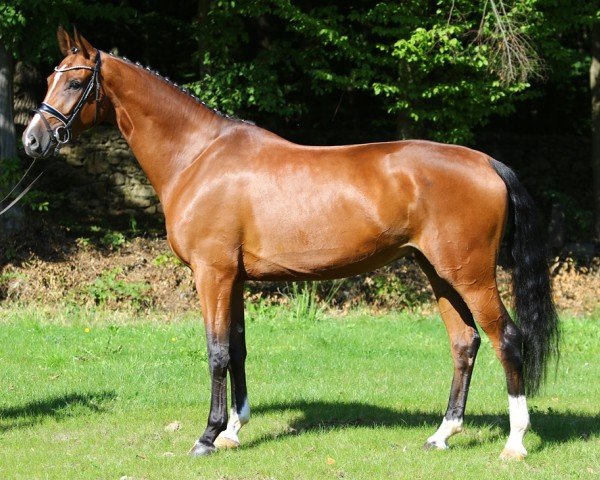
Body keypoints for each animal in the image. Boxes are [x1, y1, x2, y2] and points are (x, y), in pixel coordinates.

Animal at [22, 27, 556, 462]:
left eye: (75, 83)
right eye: (49, 78)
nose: (32, 141)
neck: (198, 156)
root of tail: (485, 162)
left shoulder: (212, 274)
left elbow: (216, 351)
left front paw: (207, 436)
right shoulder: (234, 278)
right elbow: (237, 348)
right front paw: (233, 431)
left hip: (471, 274)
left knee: (507, 339)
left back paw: (514, 443)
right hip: (437, 273)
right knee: (465, 342)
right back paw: (443, 434)